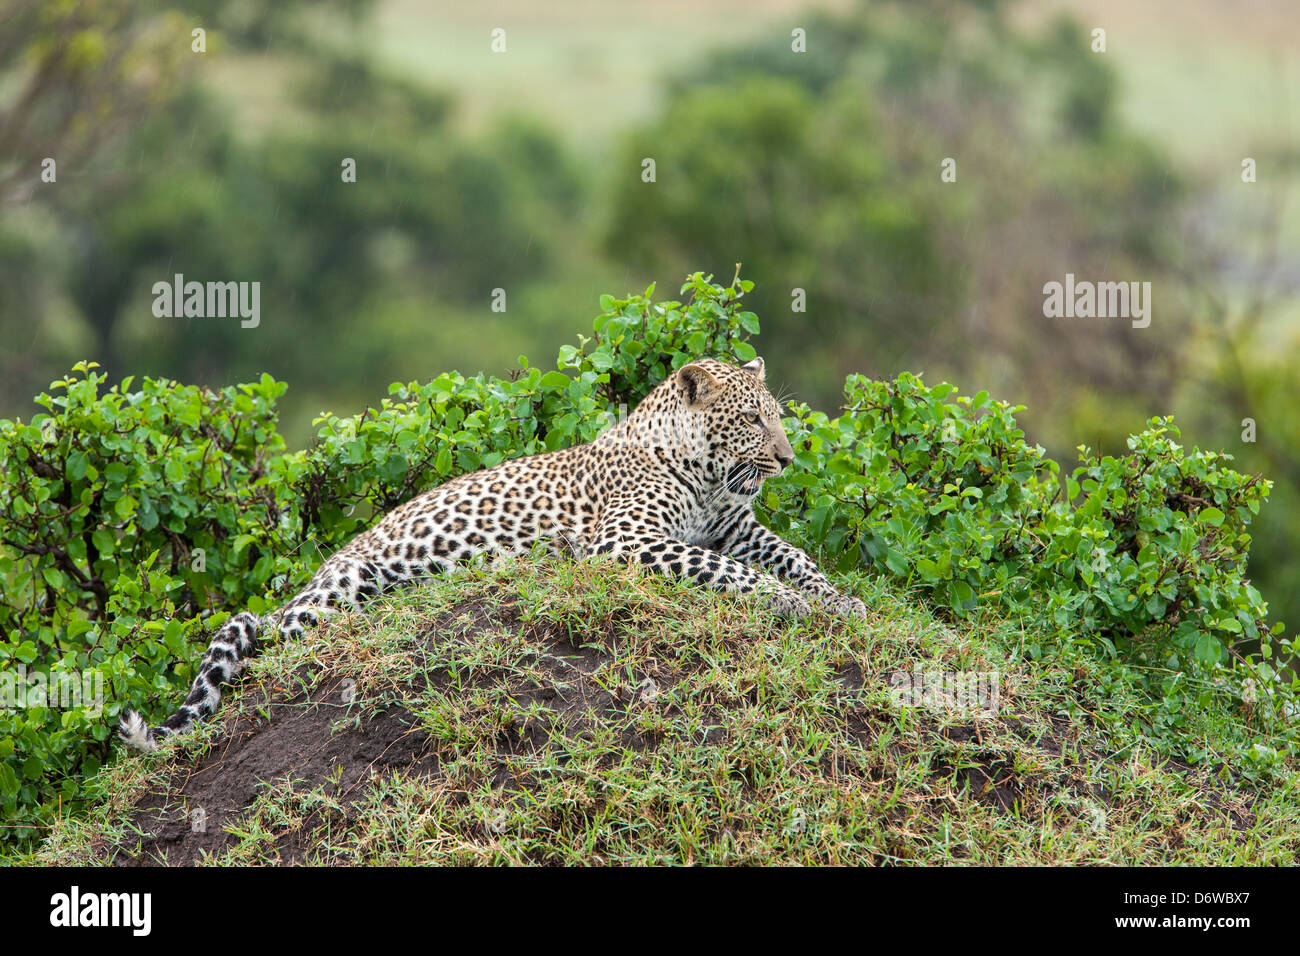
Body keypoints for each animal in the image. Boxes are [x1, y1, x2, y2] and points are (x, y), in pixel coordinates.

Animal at [119, 356, 863, 749]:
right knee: (275, 642)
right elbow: (727, 570)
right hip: (339, 589)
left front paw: (840, 599)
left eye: (778, 414)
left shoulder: (737, 528)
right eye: (753, 419)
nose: (786, 457)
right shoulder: (627, 538)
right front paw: (792, 603)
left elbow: (795, 556)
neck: (705, 475)